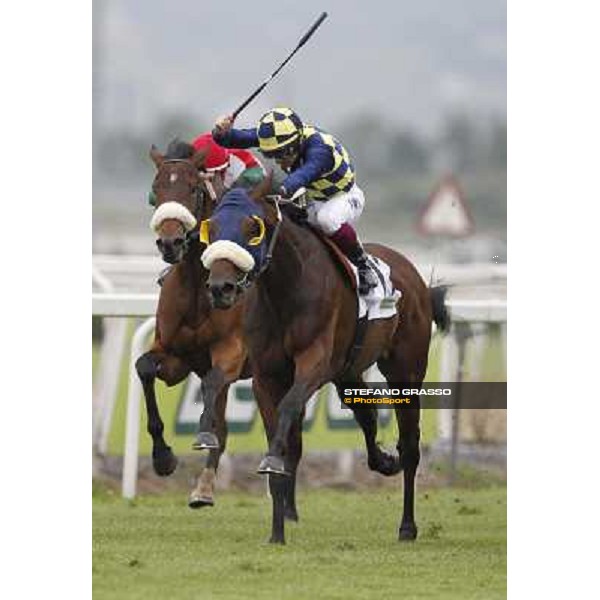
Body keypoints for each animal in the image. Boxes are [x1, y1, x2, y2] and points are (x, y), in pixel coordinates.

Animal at [135, 139, 248, 506]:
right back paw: (204, 487)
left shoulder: (232, 351)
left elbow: (211, 387)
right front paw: (163, 457)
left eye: (194, 188)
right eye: (156, 189)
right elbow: (144, 367)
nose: (169, 242)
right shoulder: (176, 357)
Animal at [202, 177, 450, 544]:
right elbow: (282, 434)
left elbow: (289, 409)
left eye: (253, 228)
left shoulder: (313, 364)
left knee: (410, 445)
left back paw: (407, 525)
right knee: (367, 416)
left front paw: (273, 463)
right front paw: (277, 533)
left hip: (406, 372)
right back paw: (384, 462)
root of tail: (414, 276)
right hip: (348, 372)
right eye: (212, 227)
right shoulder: (266, 376)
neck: (286, 290)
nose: (220, 288)